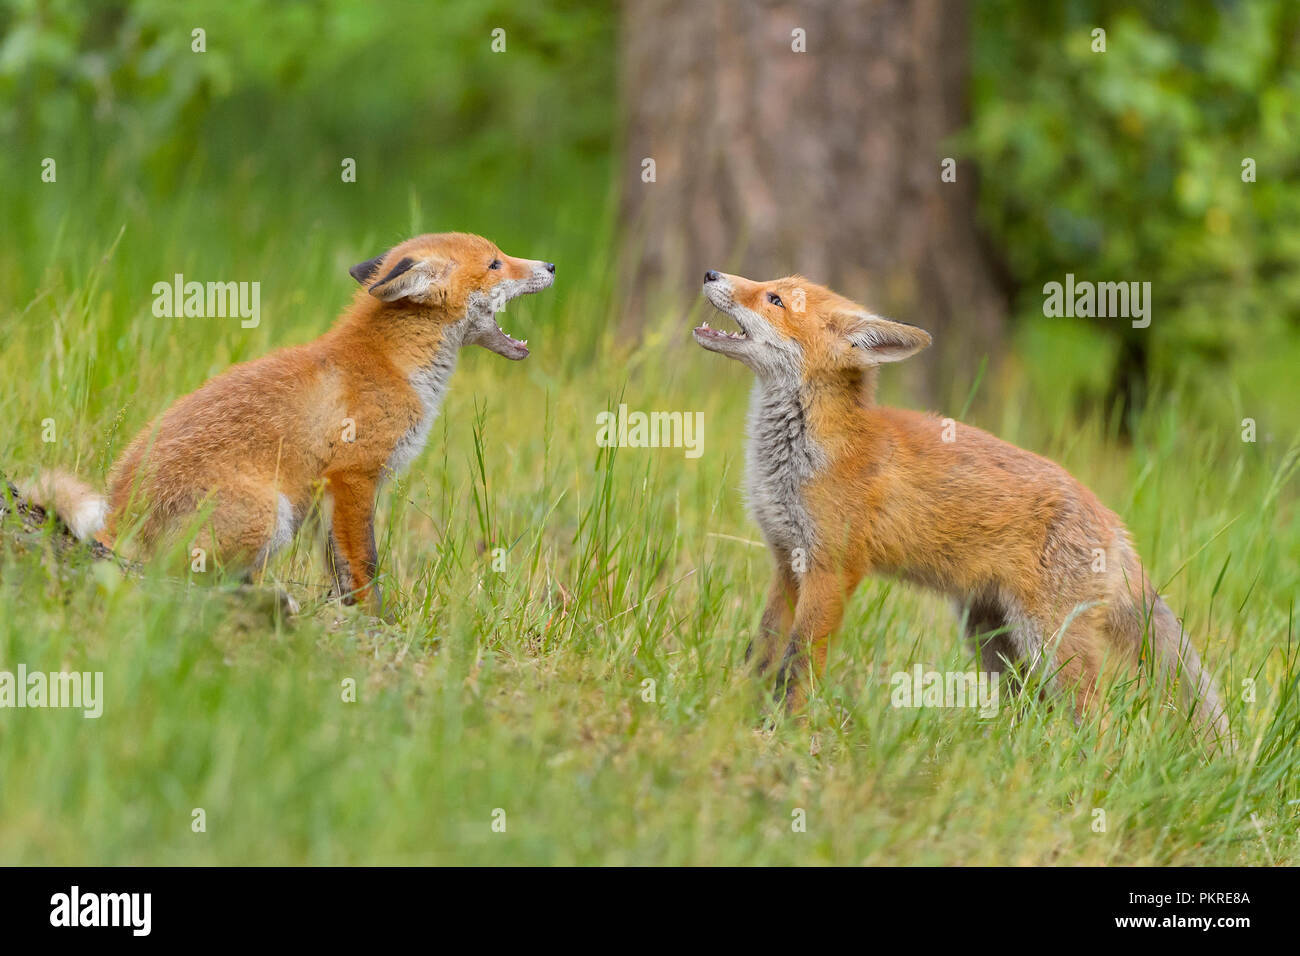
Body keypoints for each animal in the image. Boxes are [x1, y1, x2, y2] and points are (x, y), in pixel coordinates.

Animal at [24, 234, 553, 616]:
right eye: (496, 264)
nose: (550, 265)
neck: (392, 363)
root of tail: (117, 515)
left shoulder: (327, 495)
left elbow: (339, 568)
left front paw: (349, 615)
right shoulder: (354, 476)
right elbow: (366, 564)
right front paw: (377, 622)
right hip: (268, 512)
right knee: (179, 579)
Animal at [691, 269, 1227, 749]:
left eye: (774, 299)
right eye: (768, 286)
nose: (711, 273)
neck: (797, 458)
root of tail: (1112, 521)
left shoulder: (832, 569)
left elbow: (799, 664)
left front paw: (787, 733)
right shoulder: (787, 560)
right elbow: (763, 653)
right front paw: (739, 715)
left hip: (1050, 641)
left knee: (1098, 721)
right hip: (993, 640)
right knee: (1034, 709)